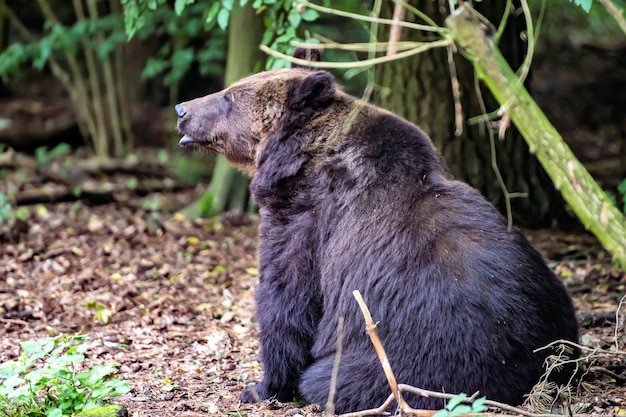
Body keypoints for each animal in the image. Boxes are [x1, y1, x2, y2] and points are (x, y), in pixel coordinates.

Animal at [174, 58, 576, 412]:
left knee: (333, 378)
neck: (296, 159)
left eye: (229, 97)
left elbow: (286, 297)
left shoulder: (307, 221)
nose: (181, 109)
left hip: (409, 357)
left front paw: (261, 387)